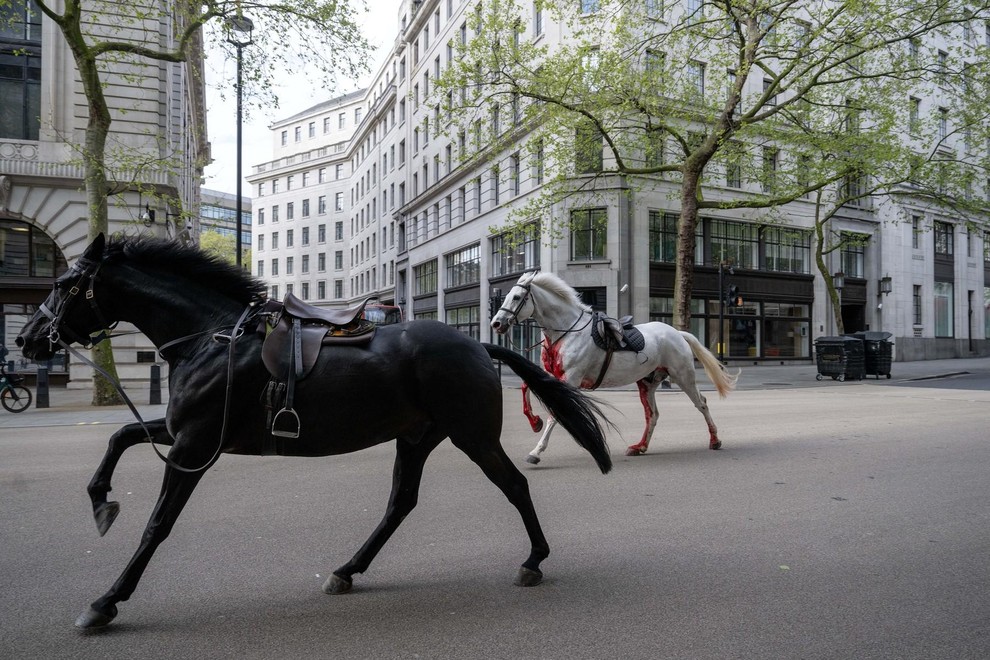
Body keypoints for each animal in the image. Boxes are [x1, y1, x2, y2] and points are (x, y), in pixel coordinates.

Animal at [17, 236, 612, 628]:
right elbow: (119, 437)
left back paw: (534, 560)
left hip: (474, 436)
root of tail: (475, 343)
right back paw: (348, 569)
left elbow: (156, 525)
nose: (27, 339)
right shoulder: (182, 434)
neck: (211, 338)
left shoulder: (195, 444)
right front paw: (101, 501)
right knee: (400, 502)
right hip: (417, 437)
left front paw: (106, 600)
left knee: (513, 485)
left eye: (65, 285)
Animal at [492, 270, 740, 462]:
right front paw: (535, 422)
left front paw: (536, 451)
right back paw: (639, 447)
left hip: (683, 376)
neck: (566, 331)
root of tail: (677, 333)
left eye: (516, 297)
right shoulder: (550, 374)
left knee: (702, 403)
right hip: (647, 382)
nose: (496, 323)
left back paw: (715, 440)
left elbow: (556, 413)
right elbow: (525, 387)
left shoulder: (571, 378)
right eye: (506, 296)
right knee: (653, 415)